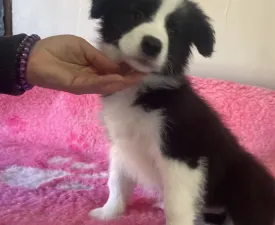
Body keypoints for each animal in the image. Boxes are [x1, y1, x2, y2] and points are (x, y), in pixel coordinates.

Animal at [89, 0, 274, 225]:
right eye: (137, 14)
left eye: (174, 31)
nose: (152, 44)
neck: (142, 88)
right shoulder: (121, 143)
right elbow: (117, 180)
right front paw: (108, 212)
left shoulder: (182, 154)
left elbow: (176, 204)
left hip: (245, 180)